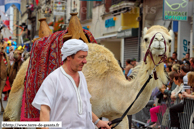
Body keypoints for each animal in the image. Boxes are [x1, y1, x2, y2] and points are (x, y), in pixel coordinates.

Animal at [3, 25, 173, 129]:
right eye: (146, 38)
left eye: (169, 40)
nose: (159, 42)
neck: (110, 86)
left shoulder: (119, 117)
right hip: (17, 94)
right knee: (10, 116)